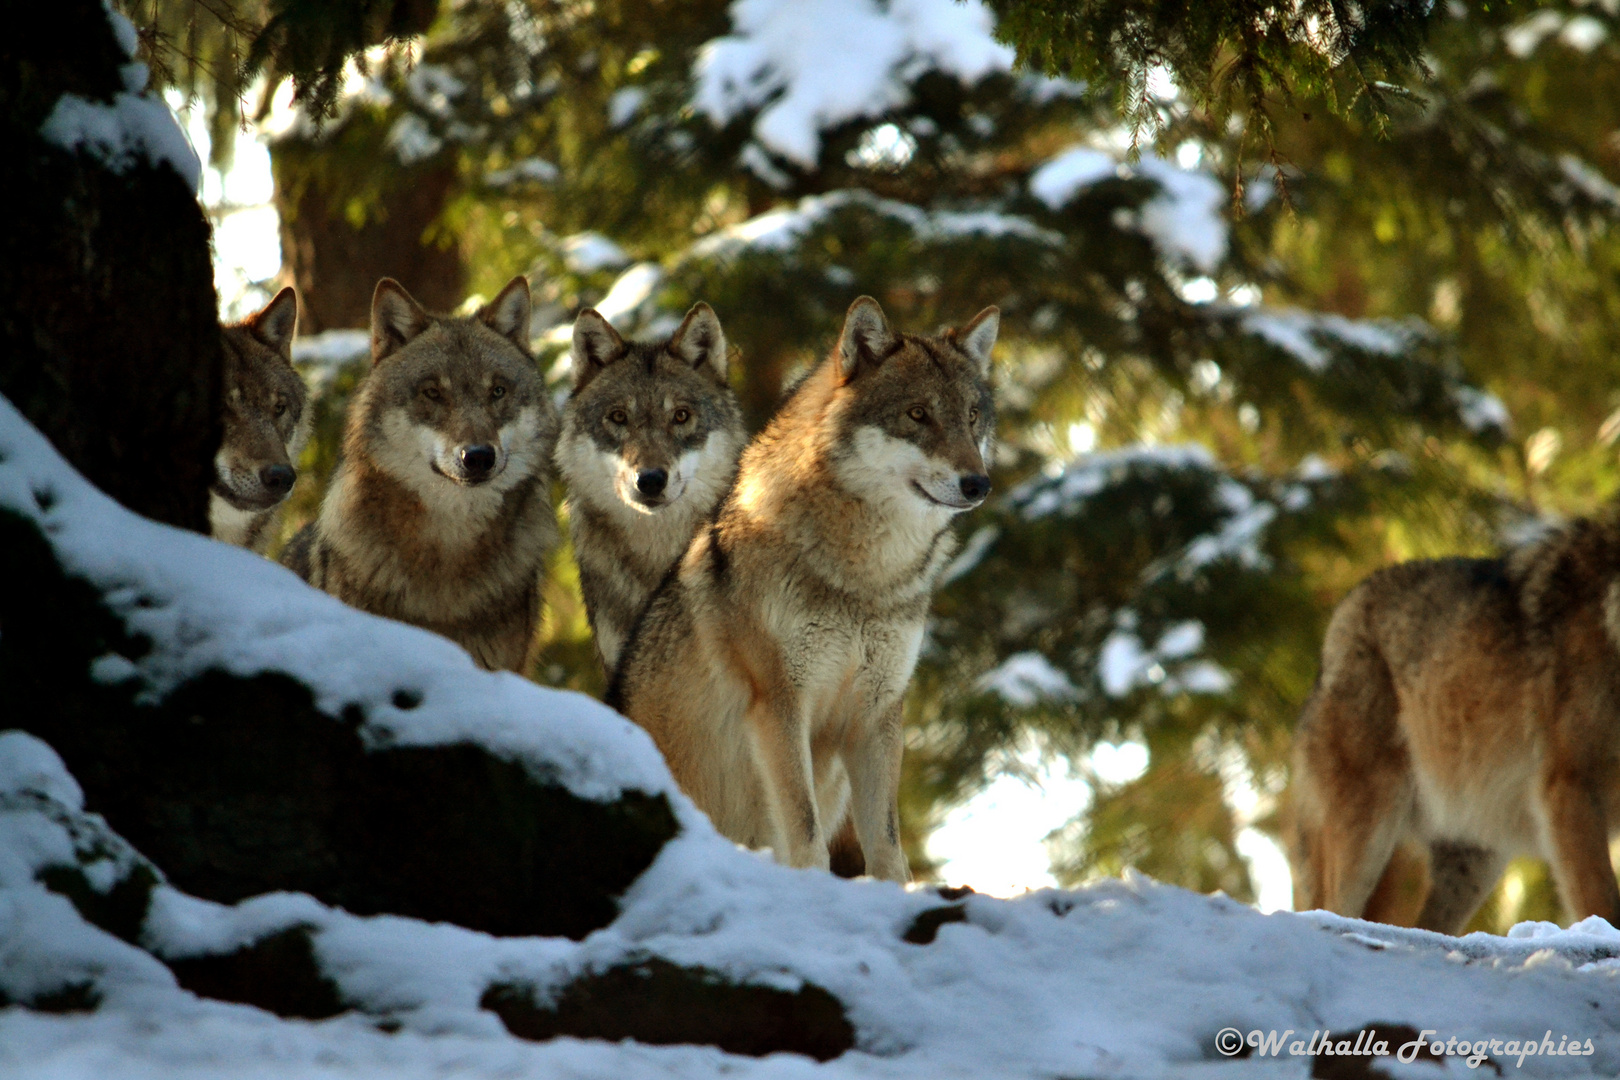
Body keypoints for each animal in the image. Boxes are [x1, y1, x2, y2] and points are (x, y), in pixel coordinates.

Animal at [605, 293, 991, 880]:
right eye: (917, 414)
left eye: (971, 417)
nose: (979, 483)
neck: (864, 580)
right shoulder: (780, 706)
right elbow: (806, 837)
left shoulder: (877, 716)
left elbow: (888, 846)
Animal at [1289, 514, 1620, 932]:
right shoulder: (1571, 788)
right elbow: (1603, 904)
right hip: (1368, 830)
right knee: (1327, 910)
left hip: (1471, 862)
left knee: (1423, 927)